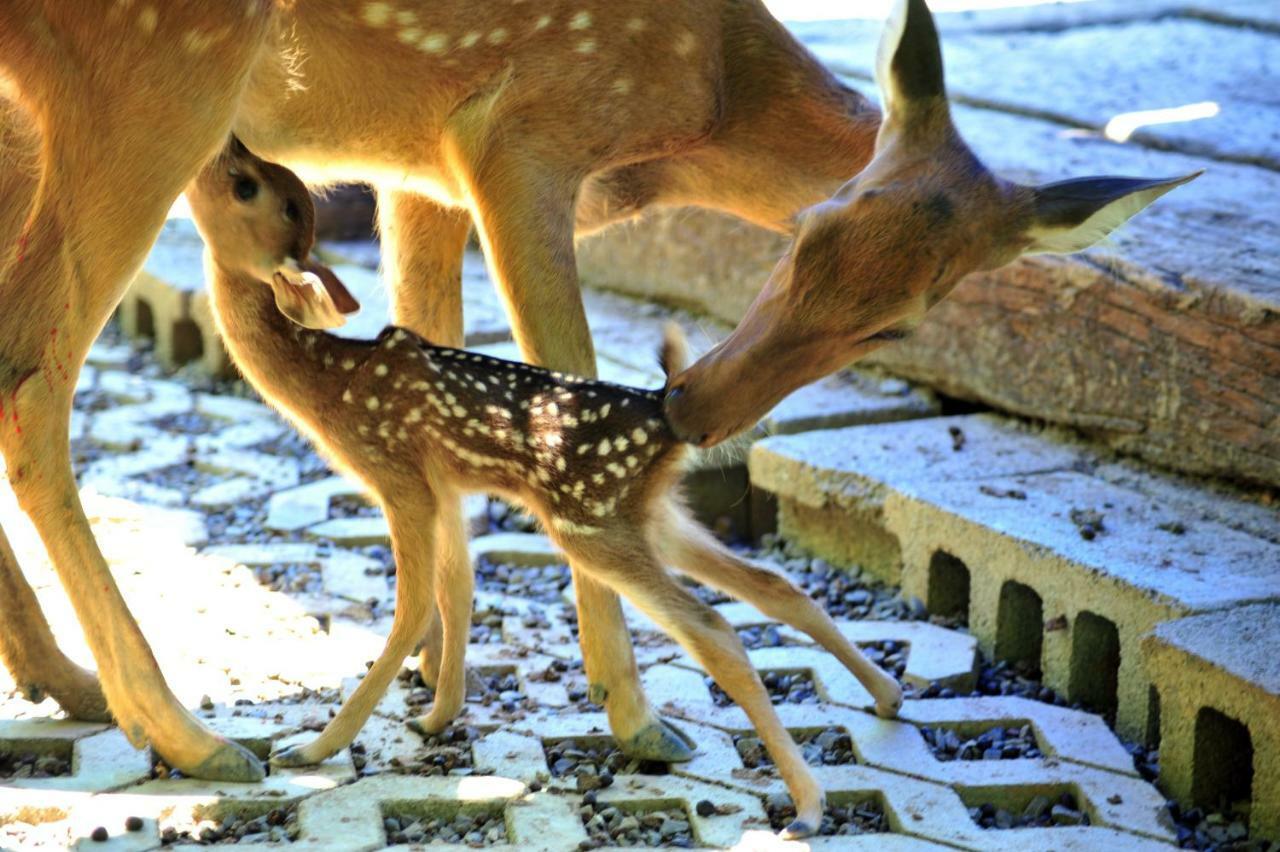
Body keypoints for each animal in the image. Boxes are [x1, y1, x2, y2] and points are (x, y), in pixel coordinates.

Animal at [0, 0, 1187, 782]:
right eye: (805, 230)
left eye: (900, 322)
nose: (698, 410)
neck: (703, 103)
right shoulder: (515, 129)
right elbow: (550, 358)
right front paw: (631, 714)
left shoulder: (419, 167)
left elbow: (438, 364)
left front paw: (437, 689)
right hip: (156, 77)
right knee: (35, 375)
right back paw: (188, 734)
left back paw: (69, 682)